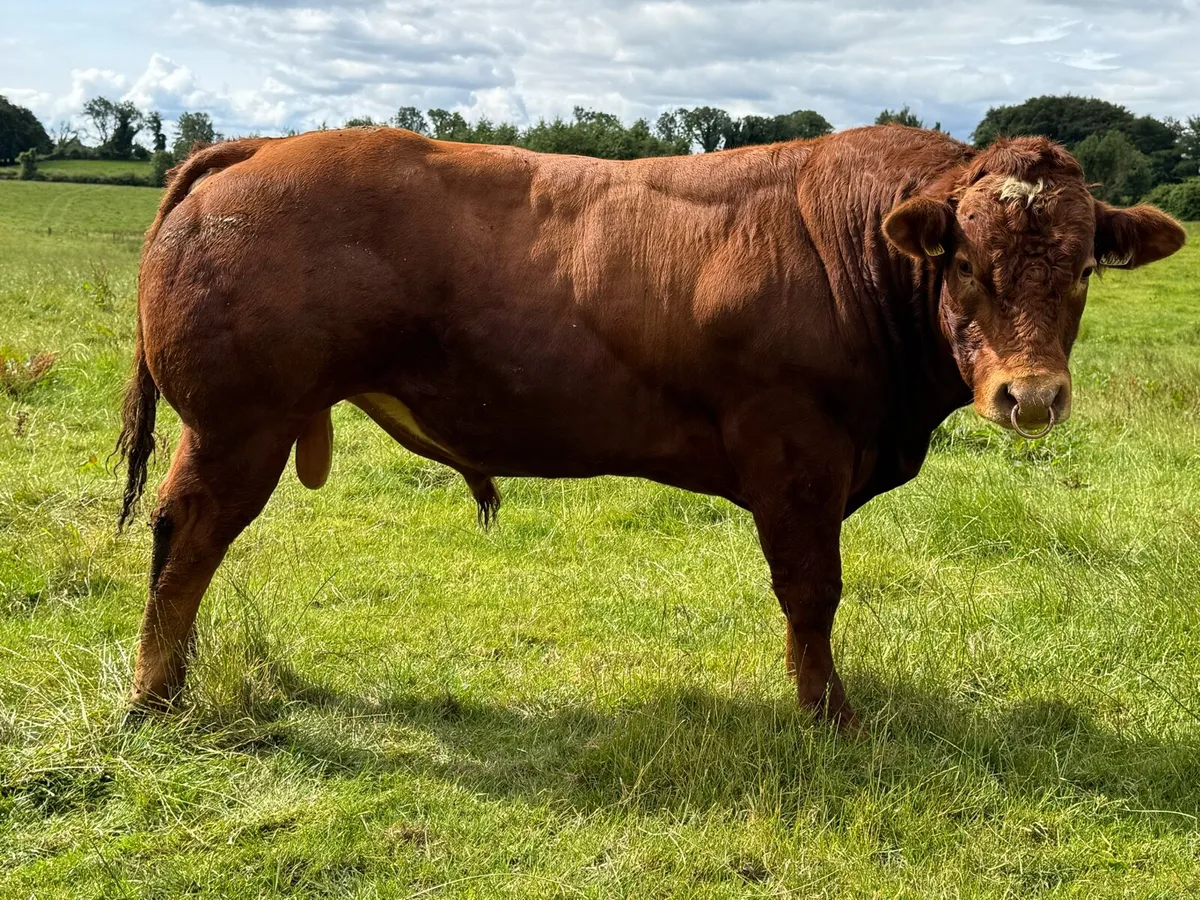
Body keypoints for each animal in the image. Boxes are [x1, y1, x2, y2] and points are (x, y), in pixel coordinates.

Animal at [116, 124, 1185, 728]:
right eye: (964, 263)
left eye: (1083, 268)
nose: (1031, 396)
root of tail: (263, 147)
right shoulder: (797, 457)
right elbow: (812, 592)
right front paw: (826, 714)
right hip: (237, 425)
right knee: (184, 538)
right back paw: (155, 695)